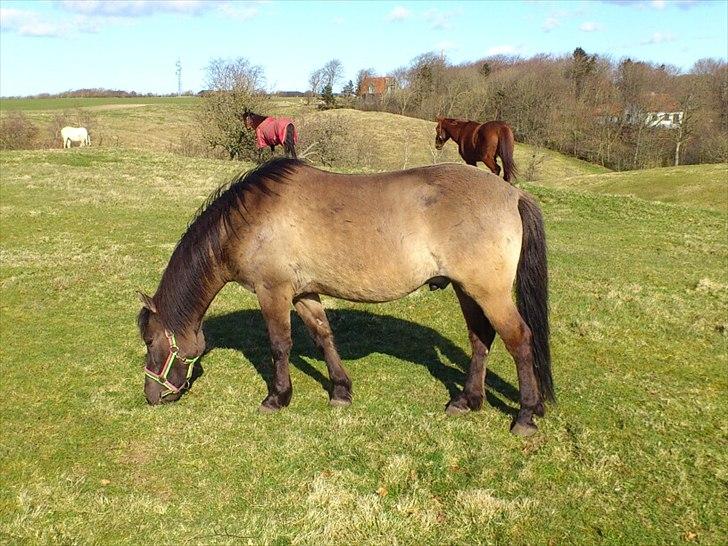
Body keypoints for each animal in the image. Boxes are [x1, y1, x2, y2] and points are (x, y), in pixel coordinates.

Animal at [139, 156, 556, 434]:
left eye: (150, 341)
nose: (151, 396)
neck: (251, 217)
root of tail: (514, 194)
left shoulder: (273, 291)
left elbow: (280, 345)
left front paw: (277, 397)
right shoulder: (304, 293)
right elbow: (323, 336)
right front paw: (340, 390)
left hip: (490, 293)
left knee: (519, 341)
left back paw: (525, 415)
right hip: (468, 290)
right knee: (480, 338)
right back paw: (466, 400)